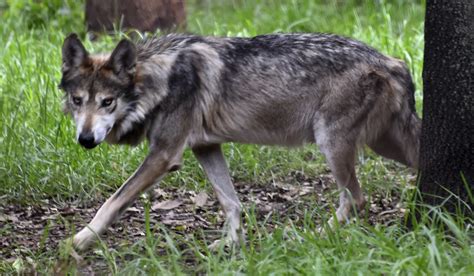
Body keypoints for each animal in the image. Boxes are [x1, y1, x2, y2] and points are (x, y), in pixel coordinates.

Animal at [60, 31, 422, 250]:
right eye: (78, 101)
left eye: (107, 102)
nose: (86, 139)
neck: (160, 79)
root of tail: (393, 62)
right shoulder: (205, 147)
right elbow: (231, 203)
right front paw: (230, 245)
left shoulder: (164, 155)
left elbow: (113, 200)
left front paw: (80, 240)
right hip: (383, 144)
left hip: (331, 144)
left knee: (356, 200)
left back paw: (314, 236)